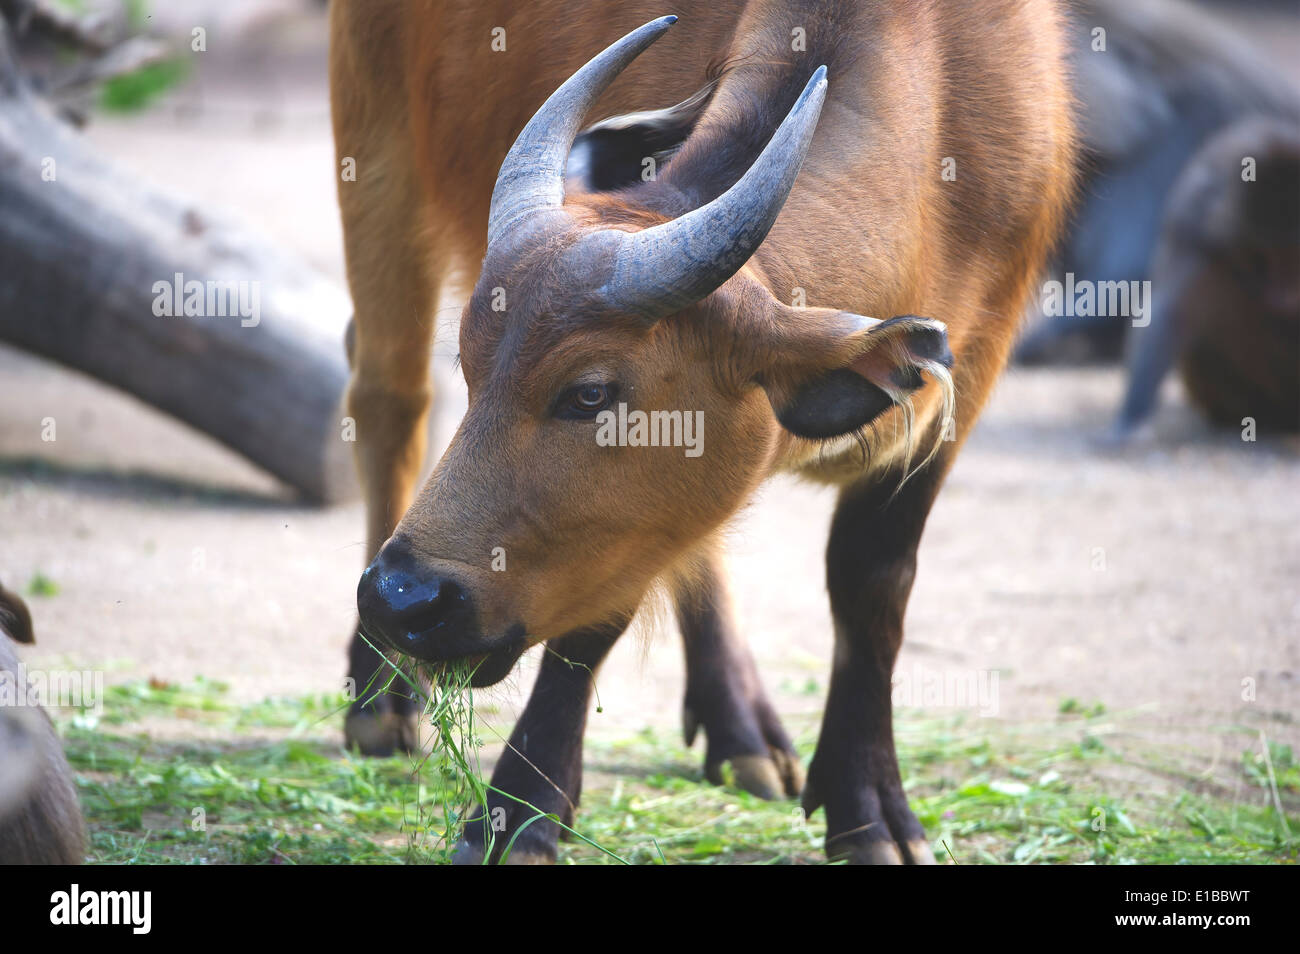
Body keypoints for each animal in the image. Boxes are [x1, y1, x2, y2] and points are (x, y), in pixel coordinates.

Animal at [330, 0, 1071, 868]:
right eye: (473, 367)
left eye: (590, 393)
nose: (399, 598)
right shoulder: (613, 535)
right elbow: (595, 623)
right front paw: (518, 812)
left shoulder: (962, 392)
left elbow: (873, 587)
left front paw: (870, 810)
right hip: (375, 146)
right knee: (390, 399)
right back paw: (381, 697)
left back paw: (741, 727)